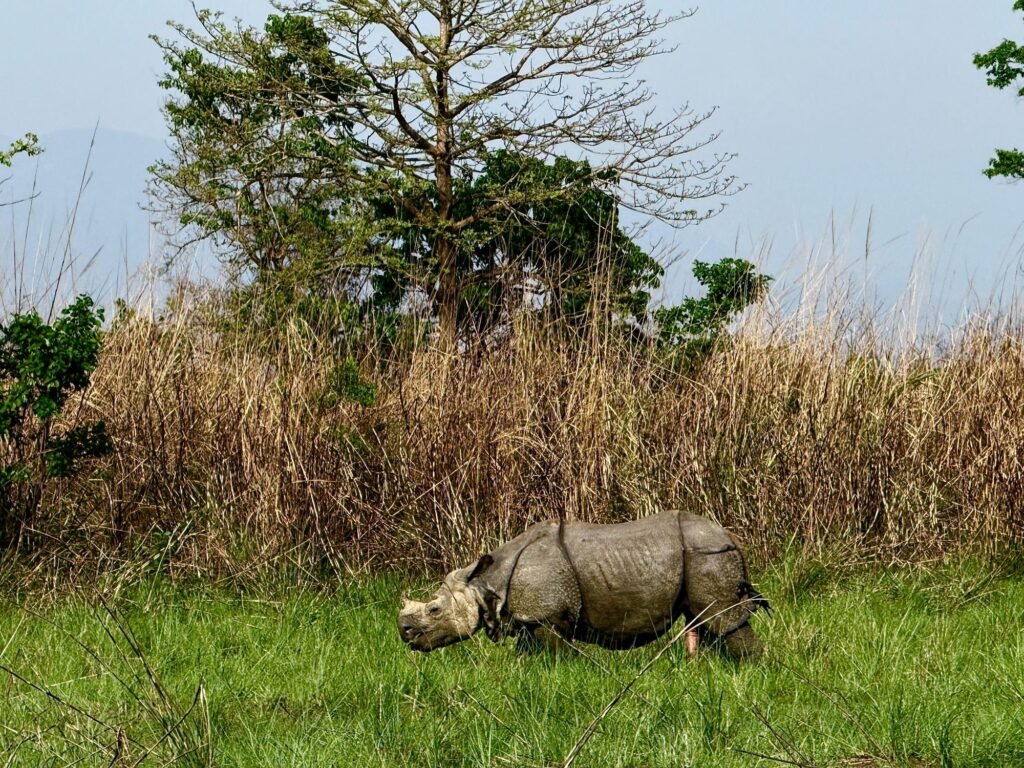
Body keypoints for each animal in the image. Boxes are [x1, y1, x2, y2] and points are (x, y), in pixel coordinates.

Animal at [398, 511, 769, 659]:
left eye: (434, 609)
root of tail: (731, 537)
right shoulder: (530, 616)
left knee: (722, 618)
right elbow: (526, 655)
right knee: (704, 621)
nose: (404, 632)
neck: (484, 583)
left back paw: (750, 669)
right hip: (701, 556)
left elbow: (557, 654)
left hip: (708, 555)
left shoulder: (546, 615)